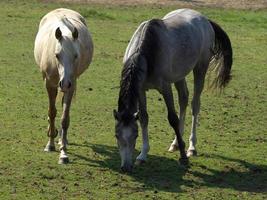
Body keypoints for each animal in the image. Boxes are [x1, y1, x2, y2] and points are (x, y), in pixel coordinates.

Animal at [34, 8, 94, 164]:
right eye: (57, 55)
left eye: (76, 55)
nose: (65, 82)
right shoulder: (49, 84)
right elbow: (52, 112)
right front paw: (50, 144)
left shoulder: (71, 86)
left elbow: (64, 118)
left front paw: (63, 153)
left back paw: (63, 139)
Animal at [114, 8, 233, 172]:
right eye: (117, 135)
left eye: (135, 135)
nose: (126, 167)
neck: (147, 51)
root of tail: (204, 19)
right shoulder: (141, 90)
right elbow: (144, 118)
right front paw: (142, 155)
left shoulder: (165, 88)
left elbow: (173, 119)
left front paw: (183, 157)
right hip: (179, 76)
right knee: (183, 98)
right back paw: (176, 142)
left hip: (200, 68)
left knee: (195, 105)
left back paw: (191, 147)